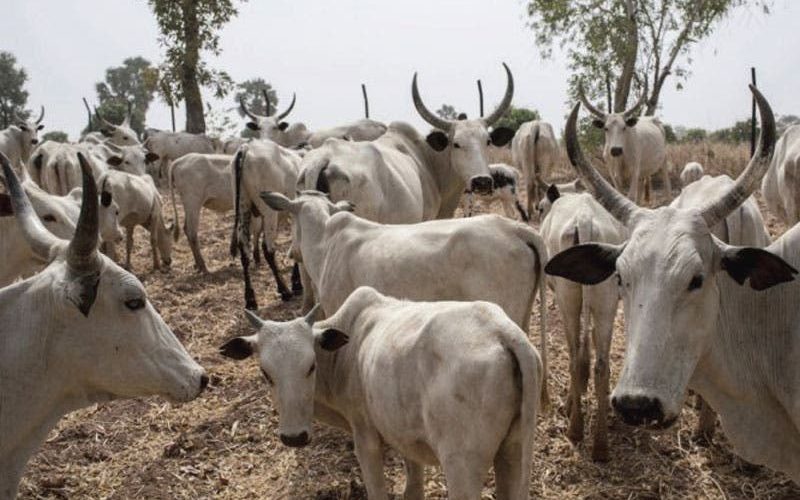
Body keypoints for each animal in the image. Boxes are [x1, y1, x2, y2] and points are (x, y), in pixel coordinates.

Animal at [220, 286, 542, 500]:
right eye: (266, 373)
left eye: (310, 366)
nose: (294, 437)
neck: (346, 352)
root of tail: (503, 331)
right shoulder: (408, 437)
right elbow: (414, 485)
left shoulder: (366, 438)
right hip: (513, 452)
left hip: (463, 465)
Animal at [230, 142, 304, 309]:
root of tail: (246, 148)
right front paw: (297, 284)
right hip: (270, 213)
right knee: (268, 249)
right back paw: (284, 290)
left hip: (243, 208)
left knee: (244, 250)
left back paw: (250, 299)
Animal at [539, 185, 626, 462]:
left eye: (539, 208)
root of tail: (585, 219)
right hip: (606, 300)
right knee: (602, 366)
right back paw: (600, 445)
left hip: (567, 296)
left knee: (575, 356)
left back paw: (575, 428)